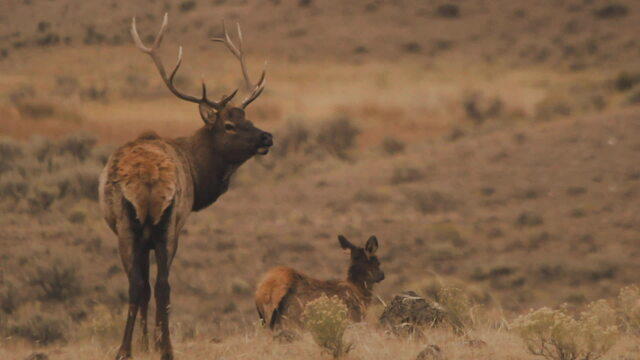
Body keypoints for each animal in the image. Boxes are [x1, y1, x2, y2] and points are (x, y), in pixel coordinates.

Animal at [99, 13, 274, 360]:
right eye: (230, 125)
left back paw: (128, 349)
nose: (267, 137)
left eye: (247, 117)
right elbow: (152, 287)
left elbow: (144, 287)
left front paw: (144, 344)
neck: (196, 172)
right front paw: (150, 343)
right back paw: (162, 348)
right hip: (164, 224)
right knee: (161, 284)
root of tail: (148, 177)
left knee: (142, 285)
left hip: (140, 224)